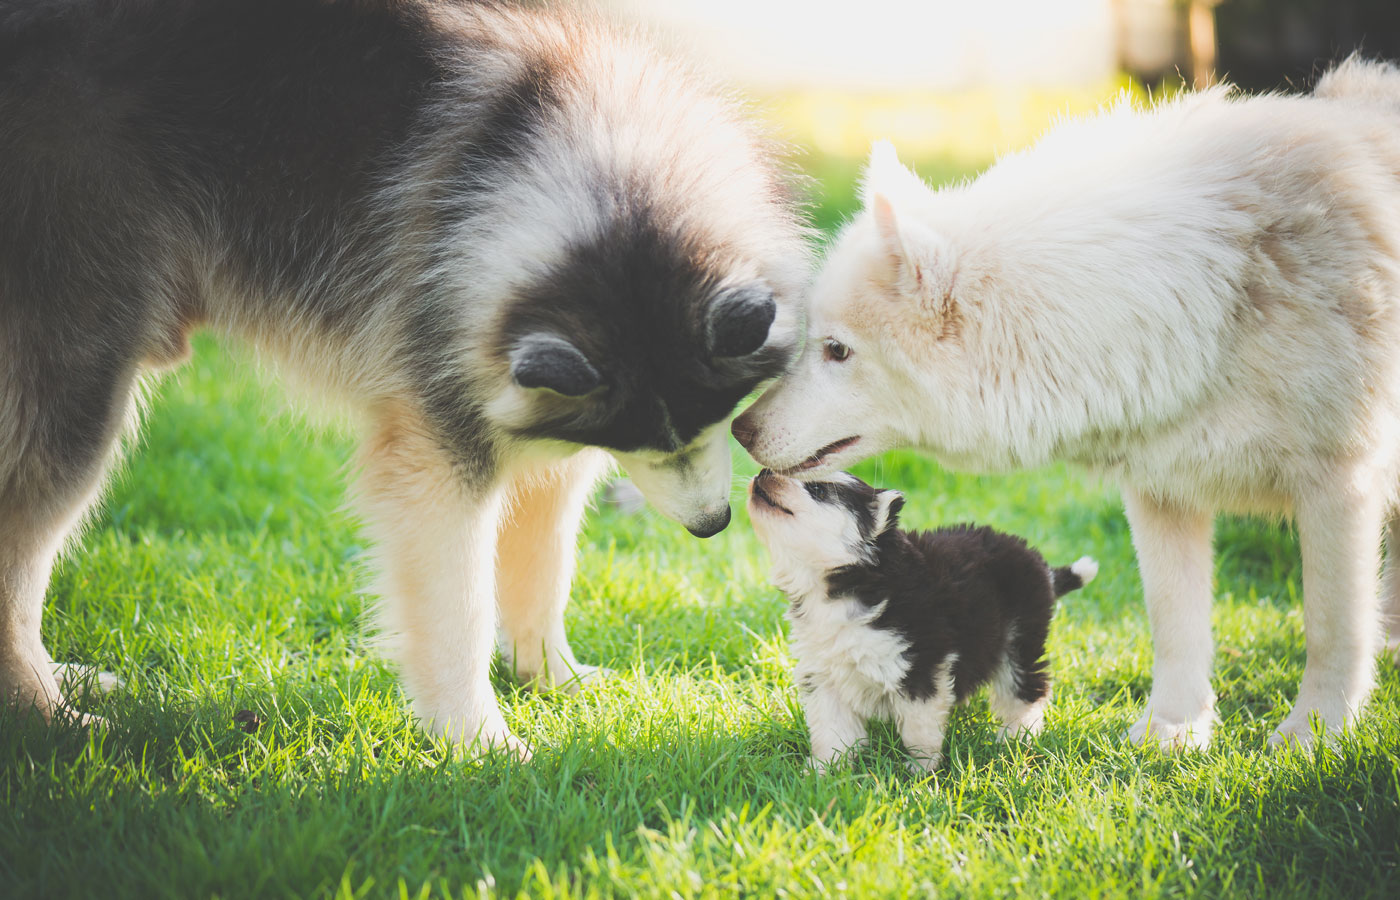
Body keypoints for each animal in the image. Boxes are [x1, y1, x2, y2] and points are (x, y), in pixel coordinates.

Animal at [733, 59, 1400, 750]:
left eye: (837, 350)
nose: (738, 429)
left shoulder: (1339, 486)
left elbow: (1331, 627)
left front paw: (1314, 736)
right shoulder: (1163, 491)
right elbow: (1175, 624)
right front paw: (1171, 732)